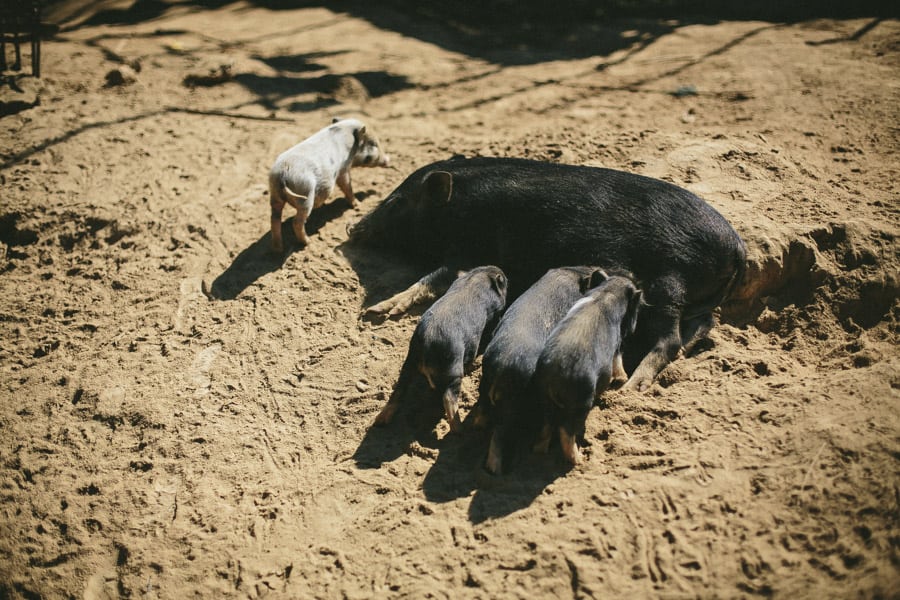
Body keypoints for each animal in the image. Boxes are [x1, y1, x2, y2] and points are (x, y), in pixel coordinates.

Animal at [344, 157, 744, 392]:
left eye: (397, 202)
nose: (351, 228)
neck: (460, 207)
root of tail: (737, 248)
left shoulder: (471, 251)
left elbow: (433, 277)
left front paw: (376, 312)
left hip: (669, 282)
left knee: (670, 340)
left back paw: (631, 386)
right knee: (703, 325)